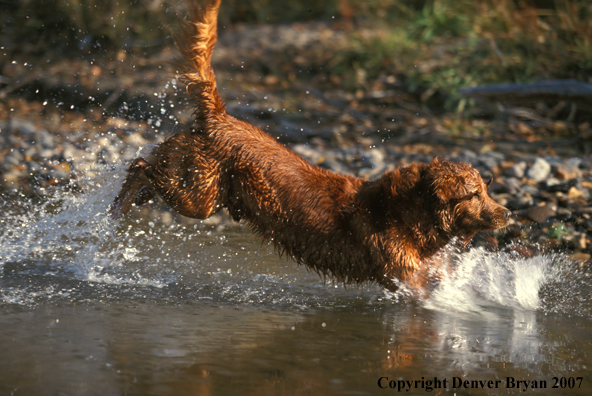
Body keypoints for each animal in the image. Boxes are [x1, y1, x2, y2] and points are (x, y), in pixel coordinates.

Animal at [110, 0, 508, 290]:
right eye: (474, 194)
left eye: (487, 190)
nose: (507, 213)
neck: (412, 210)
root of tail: (219, 116)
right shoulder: (407, 278)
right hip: (200, 196)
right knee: (140, 166)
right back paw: (116, 209)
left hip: (199, 187)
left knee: (149, 163)